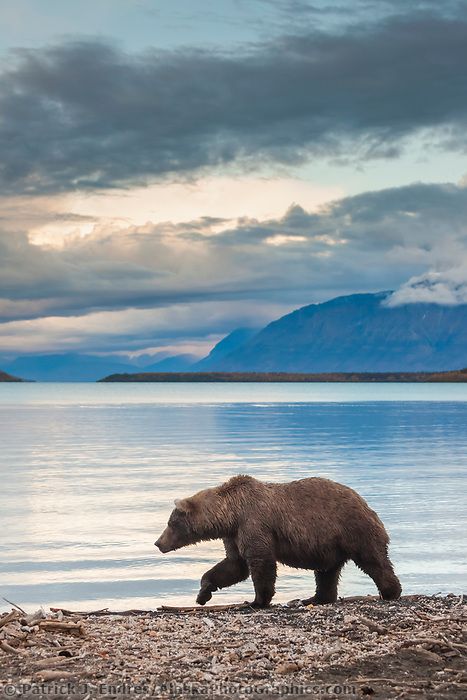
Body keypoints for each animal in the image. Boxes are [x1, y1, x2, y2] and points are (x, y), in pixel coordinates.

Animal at [154, 476, 402, 608]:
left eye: (170, 523)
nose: (158, 543)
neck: (231, 514)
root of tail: (368, 506)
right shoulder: (234, 534)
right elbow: (234, 565)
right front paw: (203, 593)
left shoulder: (254, 523)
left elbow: (260, 562)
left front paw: (257, 601)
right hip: (328, 546)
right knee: (326, 573)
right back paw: (316, 598)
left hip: (352, 528)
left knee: (373, 560)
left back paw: (390, 591)